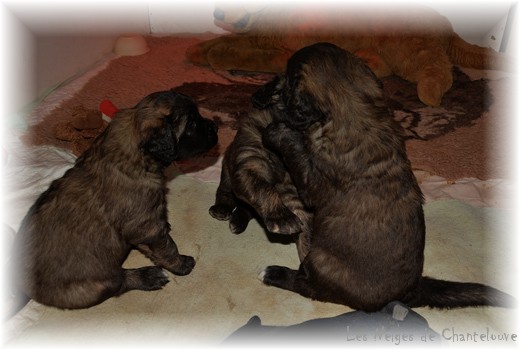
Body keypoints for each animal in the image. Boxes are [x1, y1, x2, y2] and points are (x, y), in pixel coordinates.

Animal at [11, 90, 219, 308]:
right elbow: (167, 248)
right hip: (98, 283)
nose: (215, 127)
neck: (135, 156)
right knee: (120, 282)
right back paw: (147, 276)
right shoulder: (146, 227)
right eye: (191, 124)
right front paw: (181, 264)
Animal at [208, 90, 312, 260]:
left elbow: (306, 230)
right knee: (225, 191)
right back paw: (222, 209)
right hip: (227, 171)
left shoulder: (295, 196)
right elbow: (265, 188)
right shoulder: (249, 166)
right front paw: (281, 217)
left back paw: (237, 221)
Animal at [258, 43, 512, 312]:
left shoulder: (312, 182)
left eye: (289, 84)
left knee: (306, 285)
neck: (356, 109)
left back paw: (274, 273)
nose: (275, 85)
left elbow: (295, 148)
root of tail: (411, 292)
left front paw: (276, 129)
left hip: (320, 260)